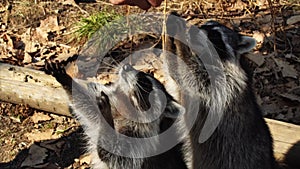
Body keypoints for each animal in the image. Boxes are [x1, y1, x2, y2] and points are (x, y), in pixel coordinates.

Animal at [44, 61, 188, 169]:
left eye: (145, 82)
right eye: (142, 73)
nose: (127, 66)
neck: (127, 105)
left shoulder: (138, 140)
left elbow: (112, 154)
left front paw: (106, 117)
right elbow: (87, 107)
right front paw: (66, 80)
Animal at [162, 18, 276, 169]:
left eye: (215, 35)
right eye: (202, 25)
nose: (192, 30)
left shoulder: (223, 83)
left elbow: (189, 74)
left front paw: (181, 40)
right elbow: (175, 74)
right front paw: (170, 38)